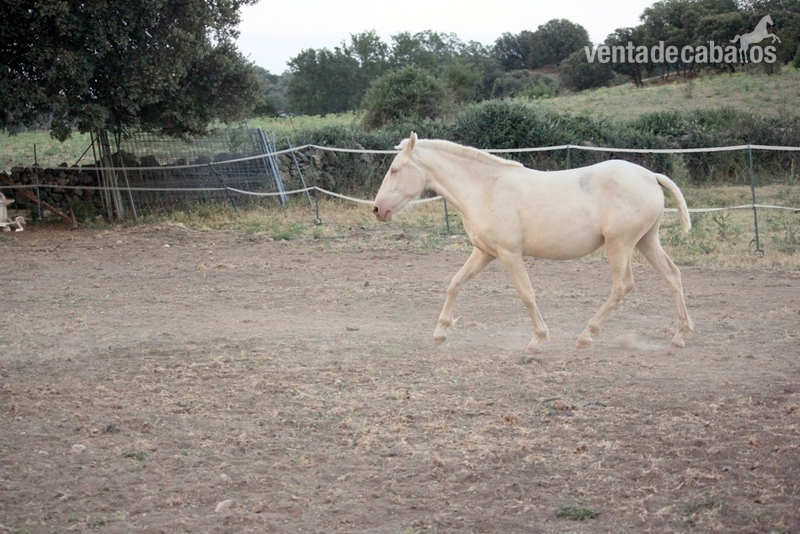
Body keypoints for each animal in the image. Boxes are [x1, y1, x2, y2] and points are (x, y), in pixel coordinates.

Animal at [372, 133, 694, 353]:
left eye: (395, 169)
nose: (377, 209)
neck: (485, 188)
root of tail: (651, 176)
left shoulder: (509, 253)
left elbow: (526, 294)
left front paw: (537, 340)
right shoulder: (485, 252)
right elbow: (455, 283)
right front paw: (440, 333)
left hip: (620, 245)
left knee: (623, 286)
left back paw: (586, 335)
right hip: (646, 241)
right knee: (673, 276)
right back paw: (679, 336)